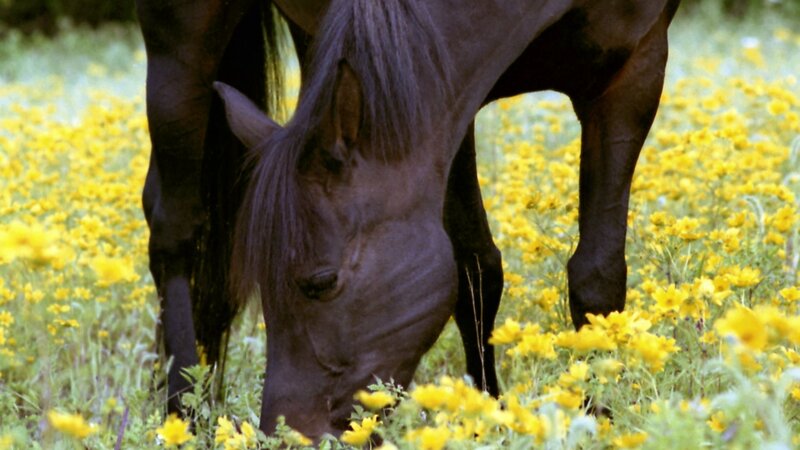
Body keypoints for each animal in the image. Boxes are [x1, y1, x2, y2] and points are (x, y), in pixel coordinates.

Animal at [136, 0, 681, 440]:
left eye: (321, 282)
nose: (288, 435)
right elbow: (474, 267)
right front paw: (484, 416)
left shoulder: (635, 69)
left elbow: (595, 278)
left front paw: (598, 416)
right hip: (179, 43)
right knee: (174, 228)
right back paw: (184, 416)